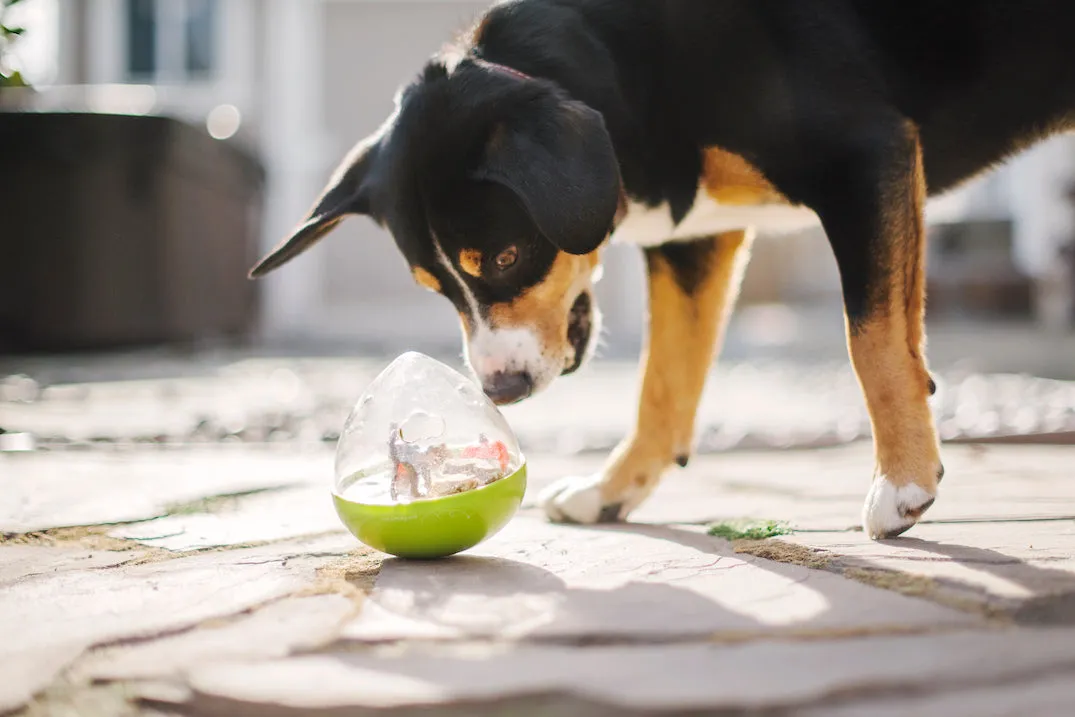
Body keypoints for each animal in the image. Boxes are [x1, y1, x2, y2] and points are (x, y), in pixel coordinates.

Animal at [247, 0, 1075, 537]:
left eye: (508, 255)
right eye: (438, 286)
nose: (500, 389)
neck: (628, 63)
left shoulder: (863, 156)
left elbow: (872, 342)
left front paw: (901, 483)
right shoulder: (692, 242)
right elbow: (662, 386)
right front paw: (612, 492)